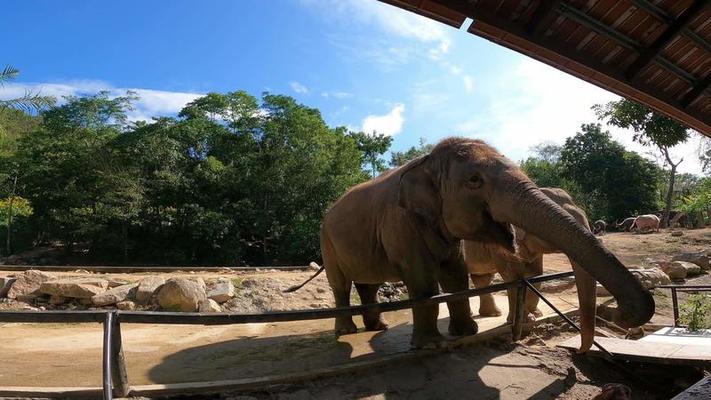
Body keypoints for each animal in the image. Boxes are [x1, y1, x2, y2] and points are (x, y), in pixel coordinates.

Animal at [468, 187, 600, 350]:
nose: (579, 350)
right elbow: (513, 277)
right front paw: (524, 320)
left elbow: (535, 274)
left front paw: (536, 315)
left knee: (481, 278)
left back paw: (493, 314)